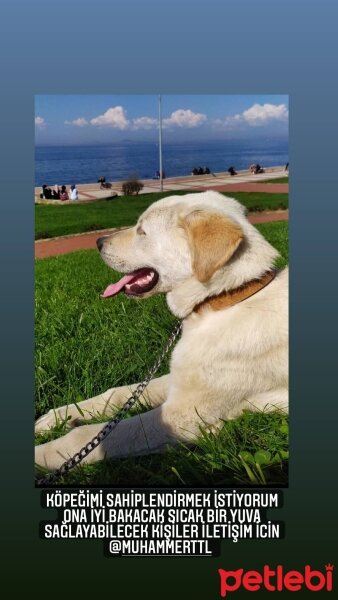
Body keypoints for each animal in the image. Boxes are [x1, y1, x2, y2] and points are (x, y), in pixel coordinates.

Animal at [35, 192, 288, 474]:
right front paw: (60, 416)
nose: (98, 242)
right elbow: (119, 392)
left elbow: (94, 435)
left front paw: (41, 454)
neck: (226, 299)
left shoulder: (185, 416)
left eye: (142, 231)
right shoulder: (181, 378)